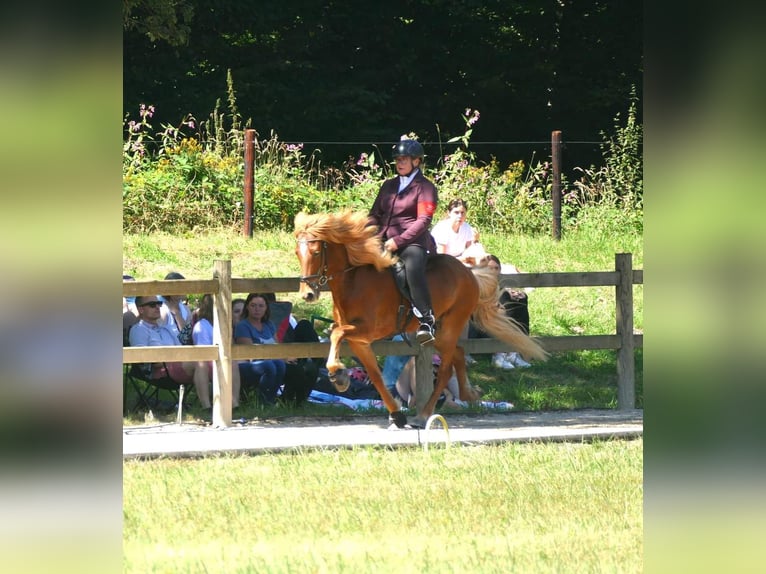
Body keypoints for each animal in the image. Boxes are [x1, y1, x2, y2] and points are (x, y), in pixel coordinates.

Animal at [294, 212, 544, 428]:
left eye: (315, 253)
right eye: (297, 252)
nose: (308, 294)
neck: (354, 283)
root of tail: (469, 272)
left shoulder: (366, 330)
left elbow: (337, 334)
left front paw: (337, 374)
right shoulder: (360, 340)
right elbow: (375, 375)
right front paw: (395, 414)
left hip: (451, 325)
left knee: (445, 370)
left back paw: (424, 415)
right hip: (442, 332)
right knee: (459, 353)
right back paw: (468, 394)